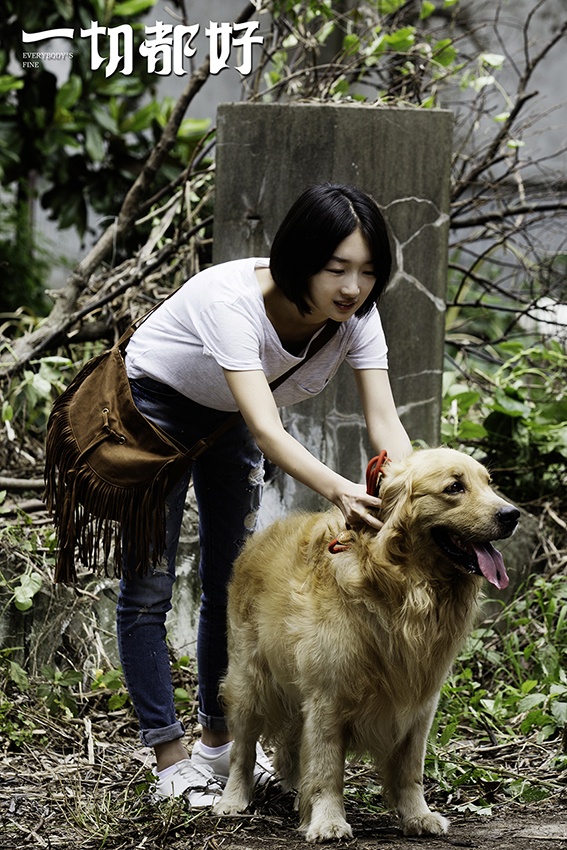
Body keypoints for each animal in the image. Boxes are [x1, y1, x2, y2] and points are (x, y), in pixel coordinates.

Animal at [215, 448, 520, 840]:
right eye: (455, 487)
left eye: (488, 483)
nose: (511, 514)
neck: (405, 589)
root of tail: (258, 538)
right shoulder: (328, 696)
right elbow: (327, 769)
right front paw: (327, 820)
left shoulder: (420, 702)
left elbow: (410, 770)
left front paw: (417, 815)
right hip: (249, 681)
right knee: (242, 750)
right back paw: (233, 799)